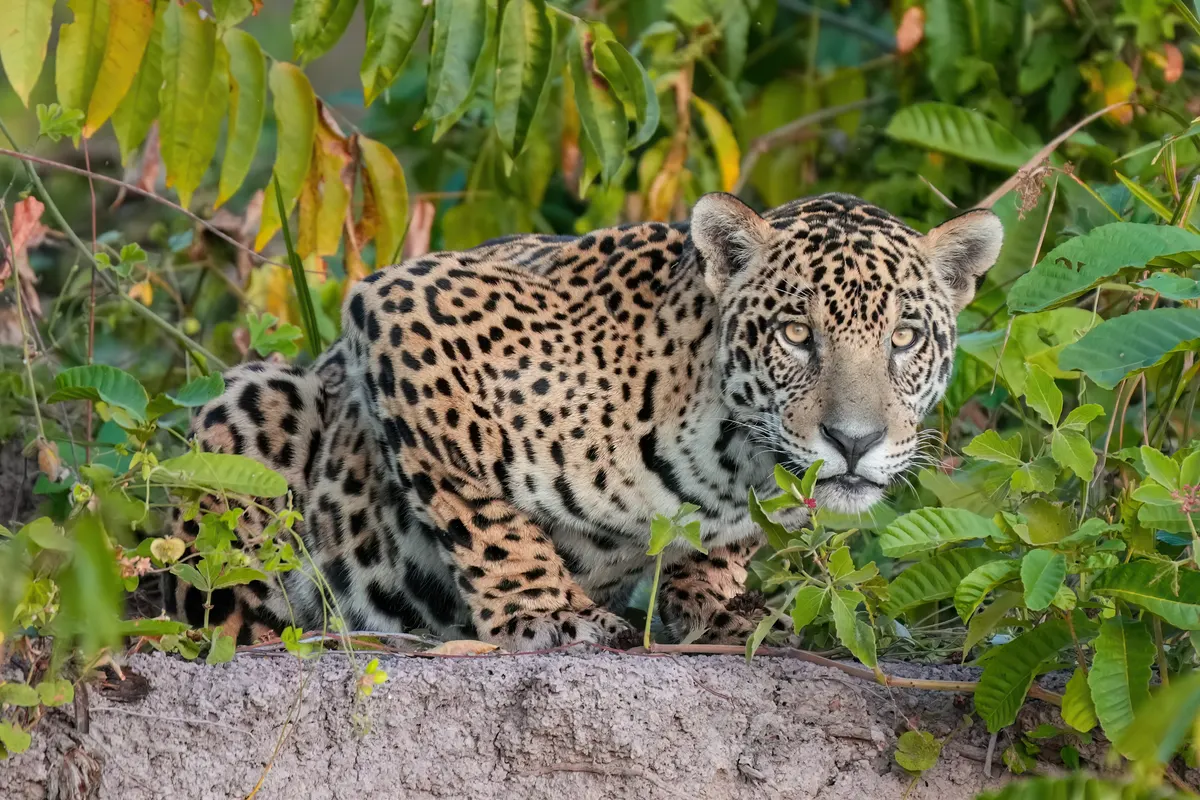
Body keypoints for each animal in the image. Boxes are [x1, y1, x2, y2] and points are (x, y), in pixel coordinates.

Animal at [163, 192, 1003, 651]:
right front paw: (548, 614)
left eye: (905, 339)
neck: (732, 455)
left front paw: (715, 600)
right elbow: (482, 514)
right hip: (255, 402)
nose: (854, 442)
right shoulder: (407, 306)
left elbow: (723, 551)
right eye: (797, 334)